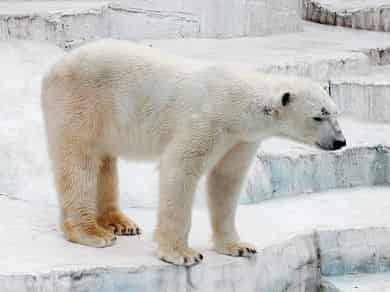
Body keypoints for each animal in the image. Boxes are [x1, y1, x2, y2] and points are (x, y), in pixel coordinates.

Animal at [41, 40, 346, 266]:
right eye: (319, 116)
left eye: (335, 113)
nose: (340, 141)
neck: (239, 104)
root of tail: (55, 66)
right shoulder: (206, 120)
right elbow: (179, 169)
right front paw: (182, 254)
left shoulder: (240, 139)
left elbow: (226, 180)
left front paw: (238, 246)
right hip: (81, 101)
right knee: (79, 161)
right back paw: (91, 232)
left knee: (104, 161)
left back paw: (120, 223)